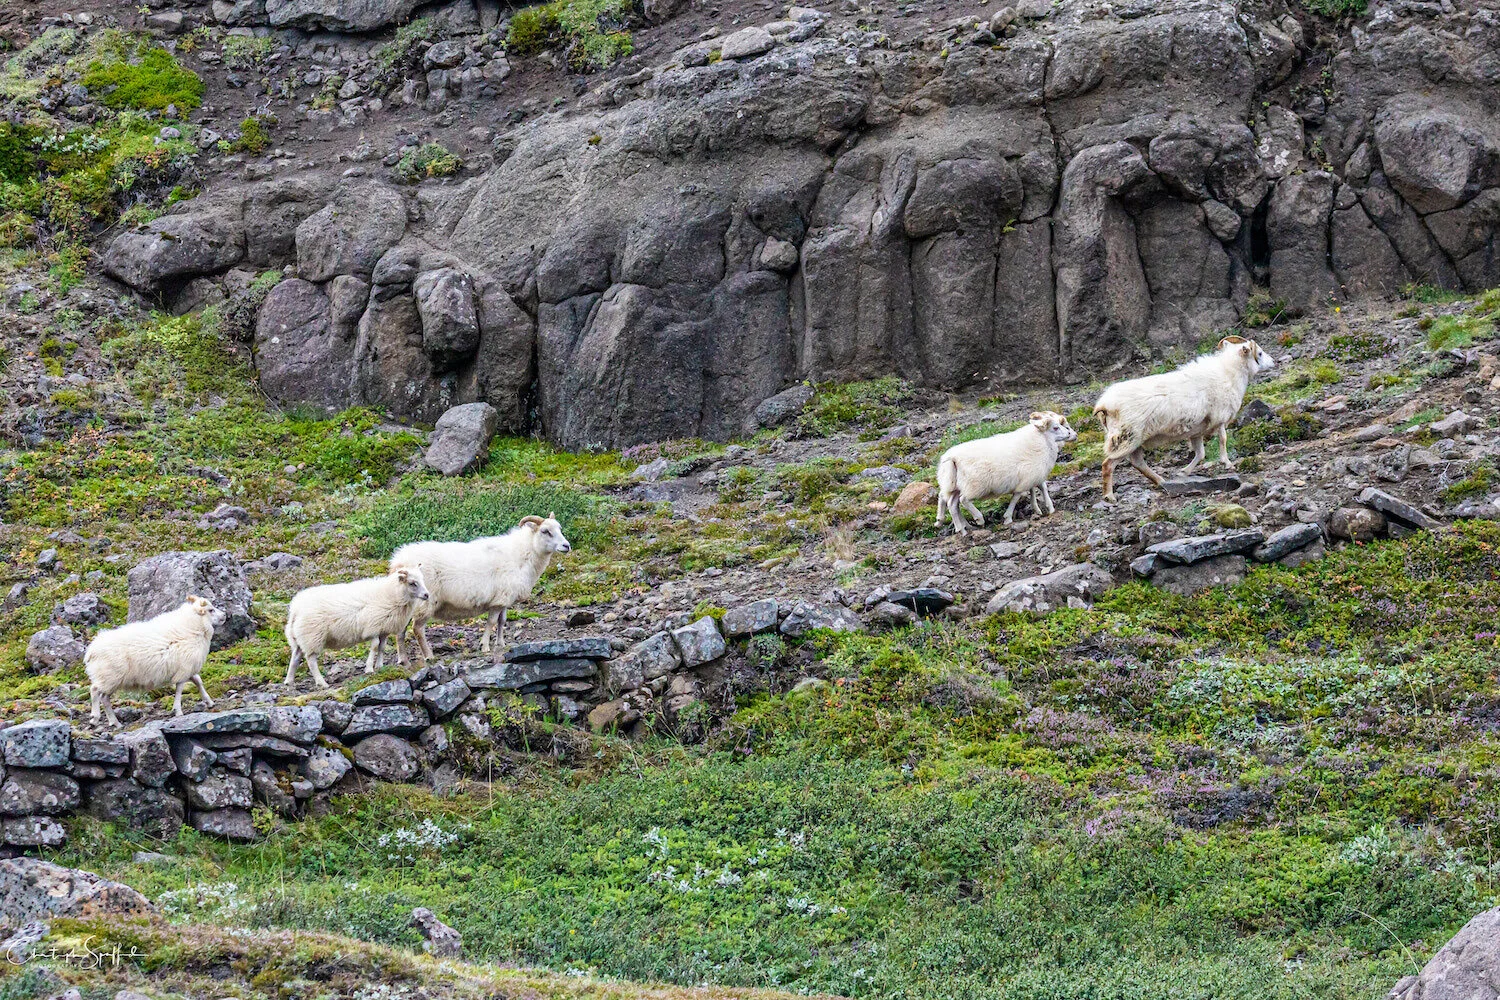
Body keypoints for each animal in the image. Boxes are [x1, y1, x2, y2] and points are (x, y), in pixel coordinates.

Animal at [85, 595, 224, 727]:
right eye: (211, 610)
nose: (224, 615)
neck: (194, 626)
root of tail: (91, 650)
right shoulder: (183, 669)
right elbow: (180, 689)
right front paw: (178, 711)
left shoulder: (188, 668)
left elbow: (198, 681)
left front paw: (209, 702)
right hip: (109, 676)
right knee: (95, 690)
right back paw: (94, 718)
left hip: (111, 679)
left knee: (104, 698)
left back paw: (115, 723)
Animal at [283, 567, 432, 689]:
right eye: (412, 583)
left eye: (422, 579)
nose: (427, 595)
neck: (392, 593)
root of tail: (295, 609)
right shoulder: (373, 627)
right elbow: (374, 646)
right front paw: (369, 668)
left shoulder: (383, 628)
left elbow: (382, 647)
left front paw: (379, 666)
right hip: (312, 636)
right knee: (311, 660)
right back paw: (321, 683)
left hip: (299, 637)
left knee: (295, 656)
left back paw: (289, 681)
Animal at [390, 514, 572, 665]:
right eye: (545, 531)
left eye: (559, 528)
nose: (567, 546)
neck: (523, 554)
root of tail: (398, 561)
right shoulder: (499, 600)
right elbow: (491, 622)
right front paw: (485, 646)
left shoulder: (504, 598)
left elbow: (502, 621)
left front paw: (501, 643)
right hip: (426, 600)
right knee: (417, 629)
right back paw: (429, 656)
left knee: (400, 631)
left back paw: (403, 659)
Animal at [935, 411, 1078, 533]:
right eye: (1056, 427)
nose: (1072, 435)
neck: (1041, 441)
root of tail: (951, 457)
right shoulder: (1027, 478)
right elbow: (1018, 496)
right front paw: (1008, 517)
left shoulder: (1032, 476)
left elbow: (1038, 488)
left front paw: (1042, 508)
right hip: (974, 485)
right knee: (963, 500)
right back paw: (978, 519)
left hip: (953, 485)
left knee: (952, 504)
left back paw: (961, 528)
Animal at [1092, 335, 1275, 500]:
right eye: (1259, 353)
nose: (1273, 362)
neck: (1229, 373)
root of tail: (1104, 405)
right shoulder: (1220, 417)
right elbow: (1223, 439)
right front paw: (1227, 463)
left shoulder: (1197, 429)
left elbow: (1200, 453)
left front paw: (1184, 471)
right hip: (1125, 438)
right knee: (1108, 465)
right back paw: (1109, 496)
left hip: (1134, 439)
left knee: (1137, 462)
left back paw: (1160, 481)